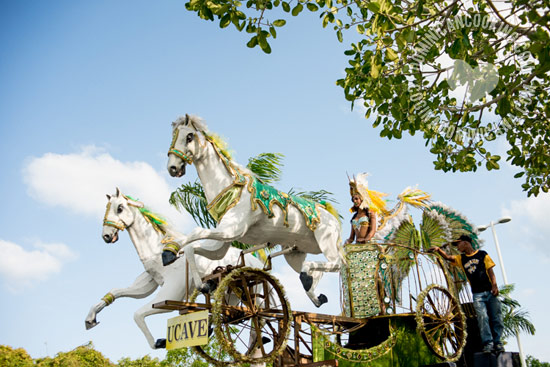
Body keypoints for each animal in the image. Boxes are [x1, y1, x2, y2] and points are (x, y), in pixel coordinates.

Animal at [85, 190, 266, 350]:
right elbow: (116, 291)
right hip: (232, 294)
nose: (107, 236)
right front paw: (90, 319)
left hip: (252, 292)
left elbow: (137, 314)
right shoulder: (149, 283)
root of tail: (255, 260)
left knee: (258, 314)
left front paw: (159, 342)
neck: (157, 251)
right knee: (233, 313)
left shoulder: (171, 293)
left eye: (120, 207)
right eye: (107, 207)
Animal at [166, 115, 342, 308]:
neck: (231, 189)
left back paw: (308, 276)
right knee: (317, 273)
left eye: (189, 137)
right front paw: (203, 284)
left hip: (326, 240)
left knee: (337, 263)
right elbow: (193, 248)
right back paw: (315, 292)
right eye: (173, 136)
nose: (172, 168)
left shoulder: (231, 230)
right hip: (295, 253)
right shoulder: (223, 240)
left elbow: (195, 232)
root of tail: (332, 217)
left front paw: (168, 251)